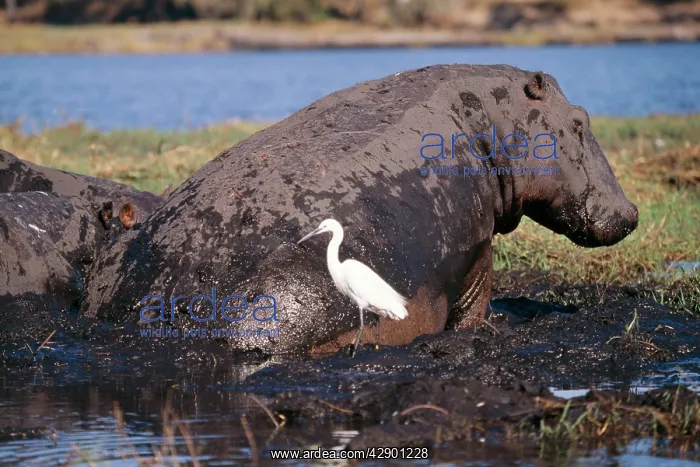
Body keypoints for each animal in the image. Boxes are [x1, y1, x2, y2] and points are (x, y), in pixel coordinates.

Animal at [80, 64, 638, 356]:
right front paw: (484, 328)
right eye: (581, 121)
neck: (493, 117)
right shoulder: (477, 247)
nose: (632, 211)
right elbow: (474, 302)